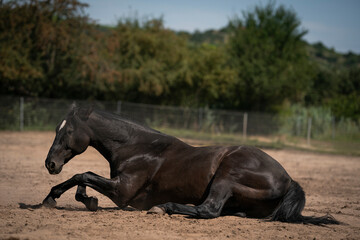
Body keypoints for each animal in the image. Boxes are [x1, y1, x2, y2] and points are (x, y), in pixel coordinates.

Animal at [43, 106, 338, 224]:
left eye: (68, 131)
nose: (50, 164)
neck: (138, 148)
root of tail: (288, 180)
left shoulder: (122, 192)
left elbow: (83, 174)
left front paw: (54, 198)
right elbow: (83, 177)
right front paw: (82, 199)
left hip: (226, 177)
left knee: (208, 210)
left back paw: (163, 208)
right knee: (226, 212)